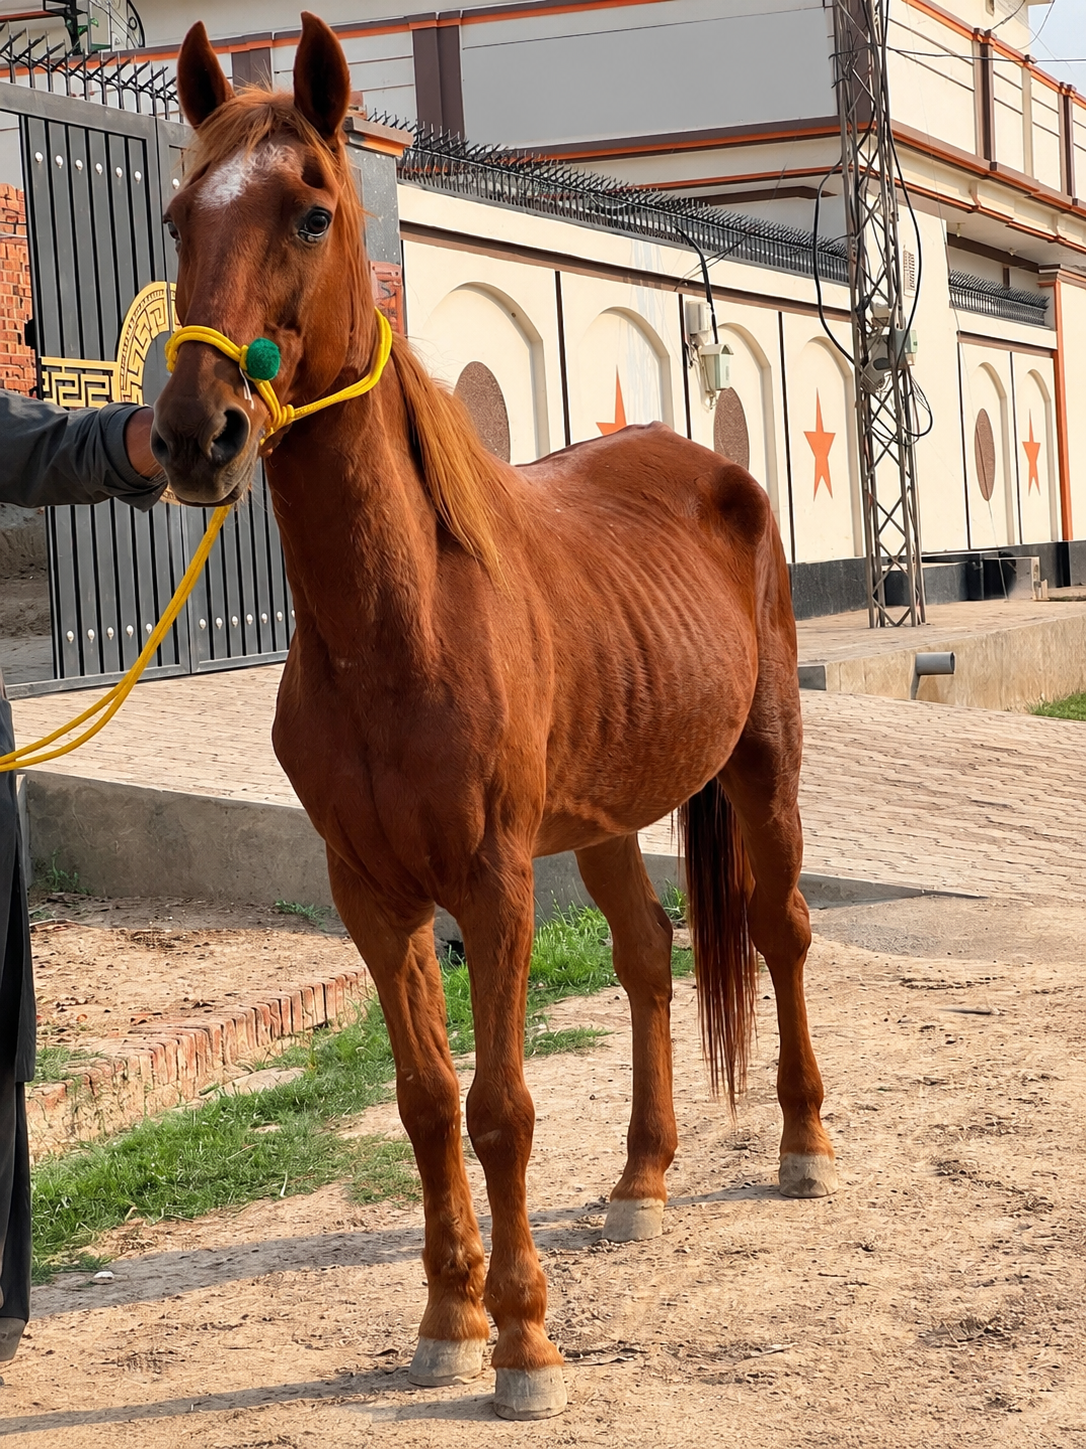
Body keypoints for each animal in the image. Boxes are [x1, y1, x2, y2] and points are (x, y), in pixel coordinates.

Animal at [152, 12, 836, 1420]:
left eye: (312, 212)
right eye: (181, 216)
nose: (196, 433)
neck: (396, 629)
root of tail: (713, 469)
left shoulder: (493, 882)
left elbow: (502, 1106)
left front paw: (524, 1342)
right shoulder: (373, 892)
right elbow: (424, 1102)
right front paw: (449, 1318)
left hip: (762, 765)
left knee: (784, 933)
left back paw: (802, 1141)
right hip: (609, 818)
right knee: (649, 958)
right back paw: (641, 1179)